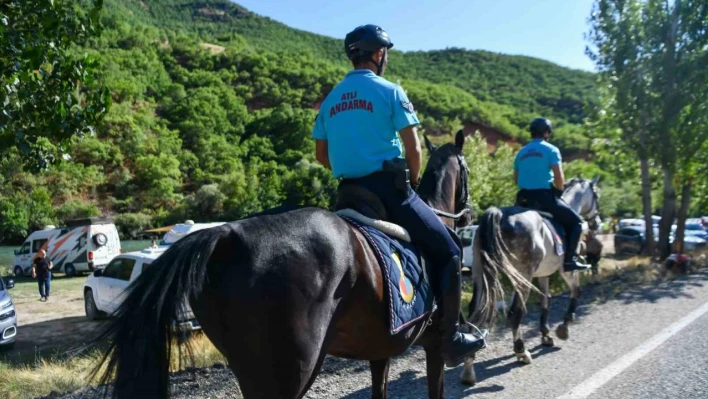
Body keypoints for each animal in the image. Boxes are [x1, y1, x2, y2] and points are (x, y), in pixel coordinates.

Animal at [91, 132, 472, 399]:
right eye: (466, 170)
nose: (468, 215)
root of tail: (226, 235)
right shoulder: (433, 346)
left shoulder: (381, 350)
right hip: (289, 373)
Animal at [460, 177, 596, 386]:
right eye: (596, 195)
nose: (596, 223)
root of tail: (498, 214)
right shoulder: (566, 270)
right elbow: (576, 291)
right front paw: (563, 328)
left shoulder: (543, 274)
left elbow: (546, 300)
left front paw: (546, 334)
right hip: (523, 276)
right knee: (515, 313)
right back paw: (521, 352)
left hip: (481, 274)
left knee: (475, 313)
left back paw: (468, 370)